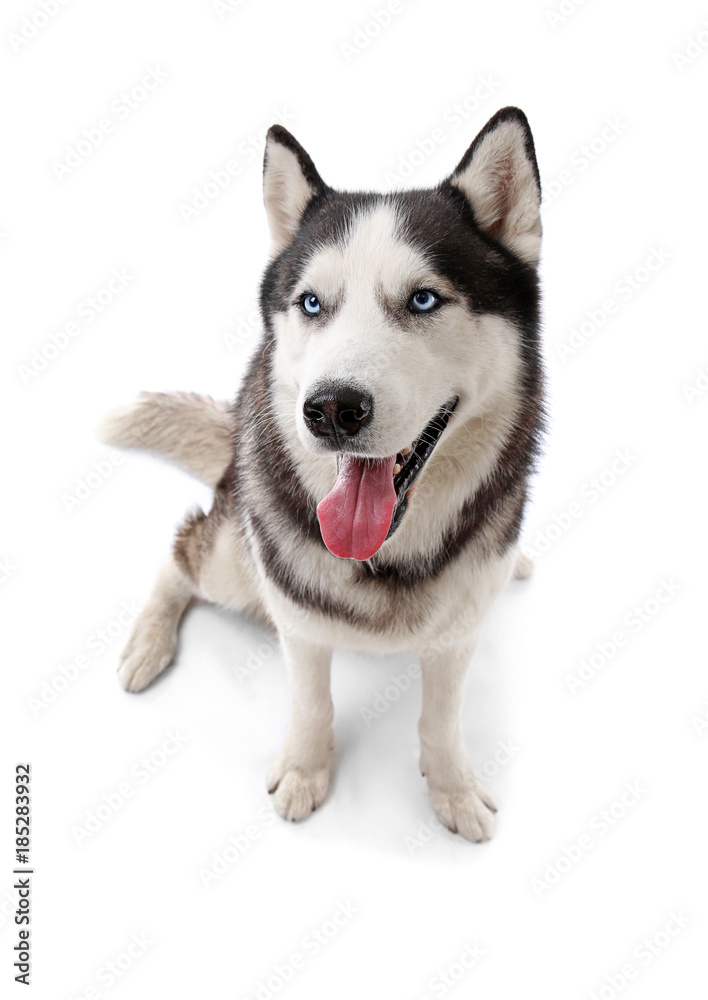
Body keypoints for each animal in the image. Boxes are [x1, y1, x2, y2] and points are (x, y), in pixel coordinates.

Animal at [98, 107, 544, 844]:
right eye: (311, 304)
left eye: (424, 300)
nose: (332, 409)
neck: (385, 555)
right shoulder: (298, 624)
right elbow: (312, 705)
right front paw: (306, 772)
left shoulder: (459, 633)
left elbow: (441, 719)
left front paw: (450, 789)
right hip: (234, 563)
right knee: (183, 549)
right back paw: (148, 643)